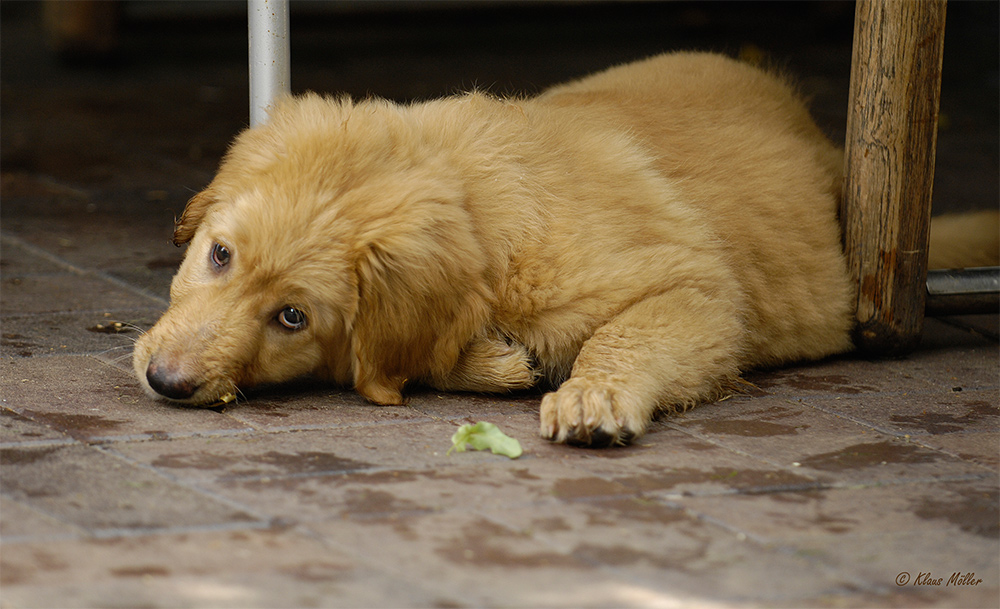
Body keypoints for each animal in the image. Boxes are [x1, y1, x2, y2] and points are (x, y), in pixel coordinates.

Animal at [135, 53, 1000, 446]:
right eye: (218, 255)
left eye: (291, 317)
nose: (164, 382)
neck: (477, 200)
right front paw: (496, 361)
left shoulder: (697, 287)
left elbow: (621, 335)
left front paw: (592, 395)